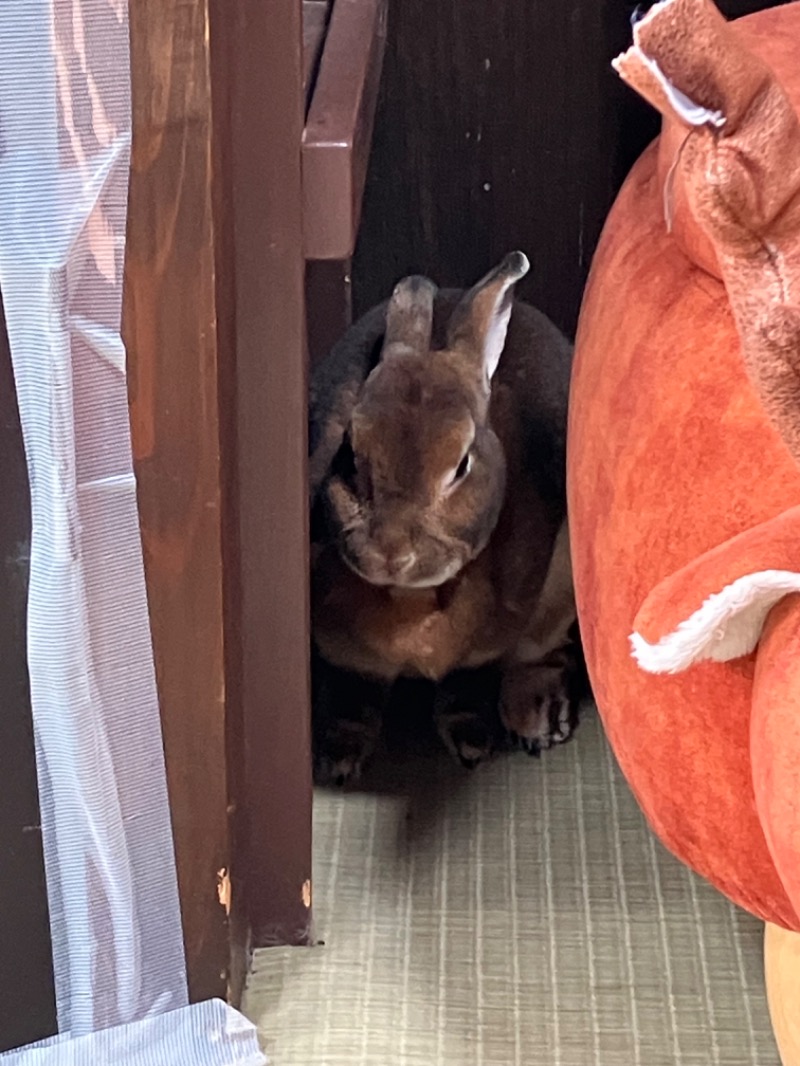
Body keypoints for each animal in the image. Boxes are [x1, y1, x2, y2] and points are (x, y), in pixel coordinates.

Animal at [311, 249, 584, 784]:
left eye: (461, 465)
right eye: (349, 456)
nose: (390, 551)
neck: (411, 599)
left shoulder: (487, 648)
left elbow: (465, 687)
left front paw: (474, 744)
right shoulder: (342, 653)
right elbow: (354, 695)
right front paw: (338, 757)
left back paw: (537, 717)